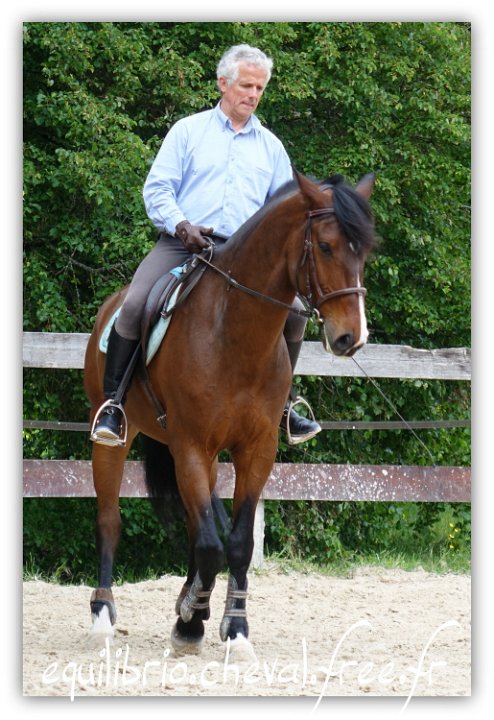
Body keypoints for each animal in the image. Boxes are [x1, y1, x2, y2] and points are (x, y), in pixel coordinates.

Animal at [84, 172, 374, 656]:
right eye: (326, 246)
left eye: (364, 252)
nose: (351, 337)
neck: (234, 333)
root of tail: (113, 303)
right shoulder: (190, 446)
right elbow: (210, 544)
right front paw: (190, 624)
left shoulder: (256, 450)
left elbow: (235, 543)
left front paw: (231, 627)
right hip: (116, 442)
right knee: (110, 520)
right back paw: (104, 615)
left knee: (193, 526)